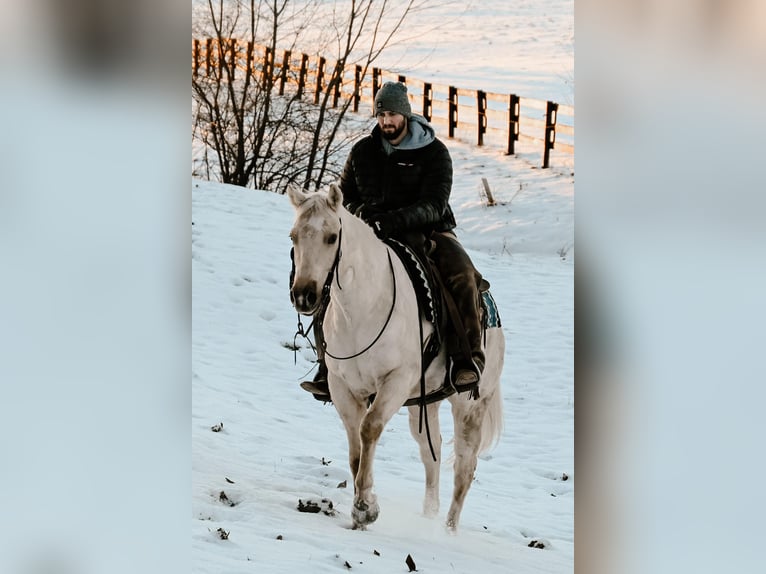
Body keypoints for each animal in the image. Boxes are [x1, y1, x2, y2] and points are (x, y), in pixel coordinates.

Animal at [288, 183, 504, 532]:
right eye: (293, 235)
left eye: (332, 237)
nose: (304, 295)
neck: (363, 308)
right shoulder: (343, 387)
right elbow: (355, 446)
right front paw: (362, 507)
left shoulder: (396, 381)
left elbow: (369, 429)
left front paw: (364, 507)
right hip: (425, 402)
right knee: (432, 452)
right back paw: (428, 514)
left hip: (471, 404)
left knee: (464, 466)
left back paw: (448, 530)